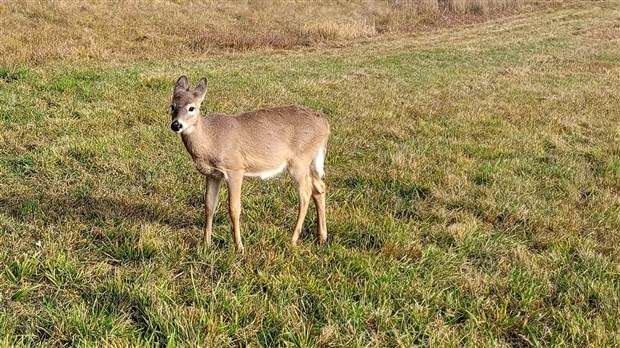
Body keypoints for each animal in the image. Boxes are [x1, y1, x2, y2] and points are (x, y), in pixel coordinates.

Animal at [170, 75, 330, 250]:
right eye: (172, 106)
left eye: (192, 108)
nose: (176, 125)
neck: (211, 139)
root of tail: (326, 124)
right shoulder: (213, 174)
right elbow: (209, 206)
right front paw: (206, 245)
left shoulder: (235, 168)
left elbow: (234, 209)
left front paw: (239, 246)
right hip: (310, 161)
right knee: (319, 187)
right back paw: (322, 237)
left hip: (299, 160)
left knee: (305, 194)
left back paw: (293, 240)